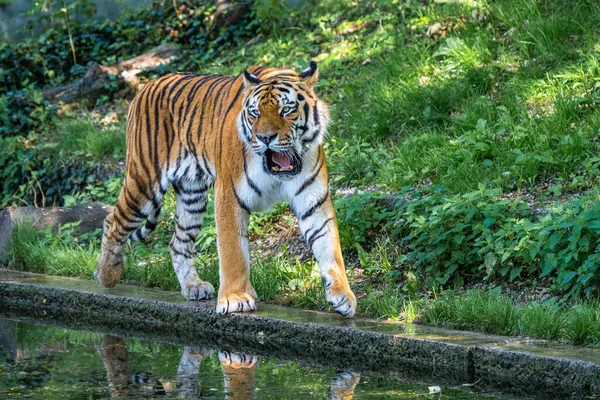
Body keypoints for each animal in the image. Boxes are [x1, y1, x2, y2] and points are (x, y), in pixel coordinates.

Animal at [94, 61, 356, 318]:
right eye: (255, 113)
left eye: (286, 110)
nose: (265, 138)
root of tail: (148, 85)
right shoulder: (229, 196)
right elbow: (233, 252)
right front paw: (236, 299)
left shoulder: (314, 201)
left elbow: (330, 247)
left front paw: (343, 295)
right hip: (144, 182)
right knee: (112, 221)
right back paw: (106, 275)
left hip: (192, 195)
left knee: (178, 242)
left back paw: (193, 286)